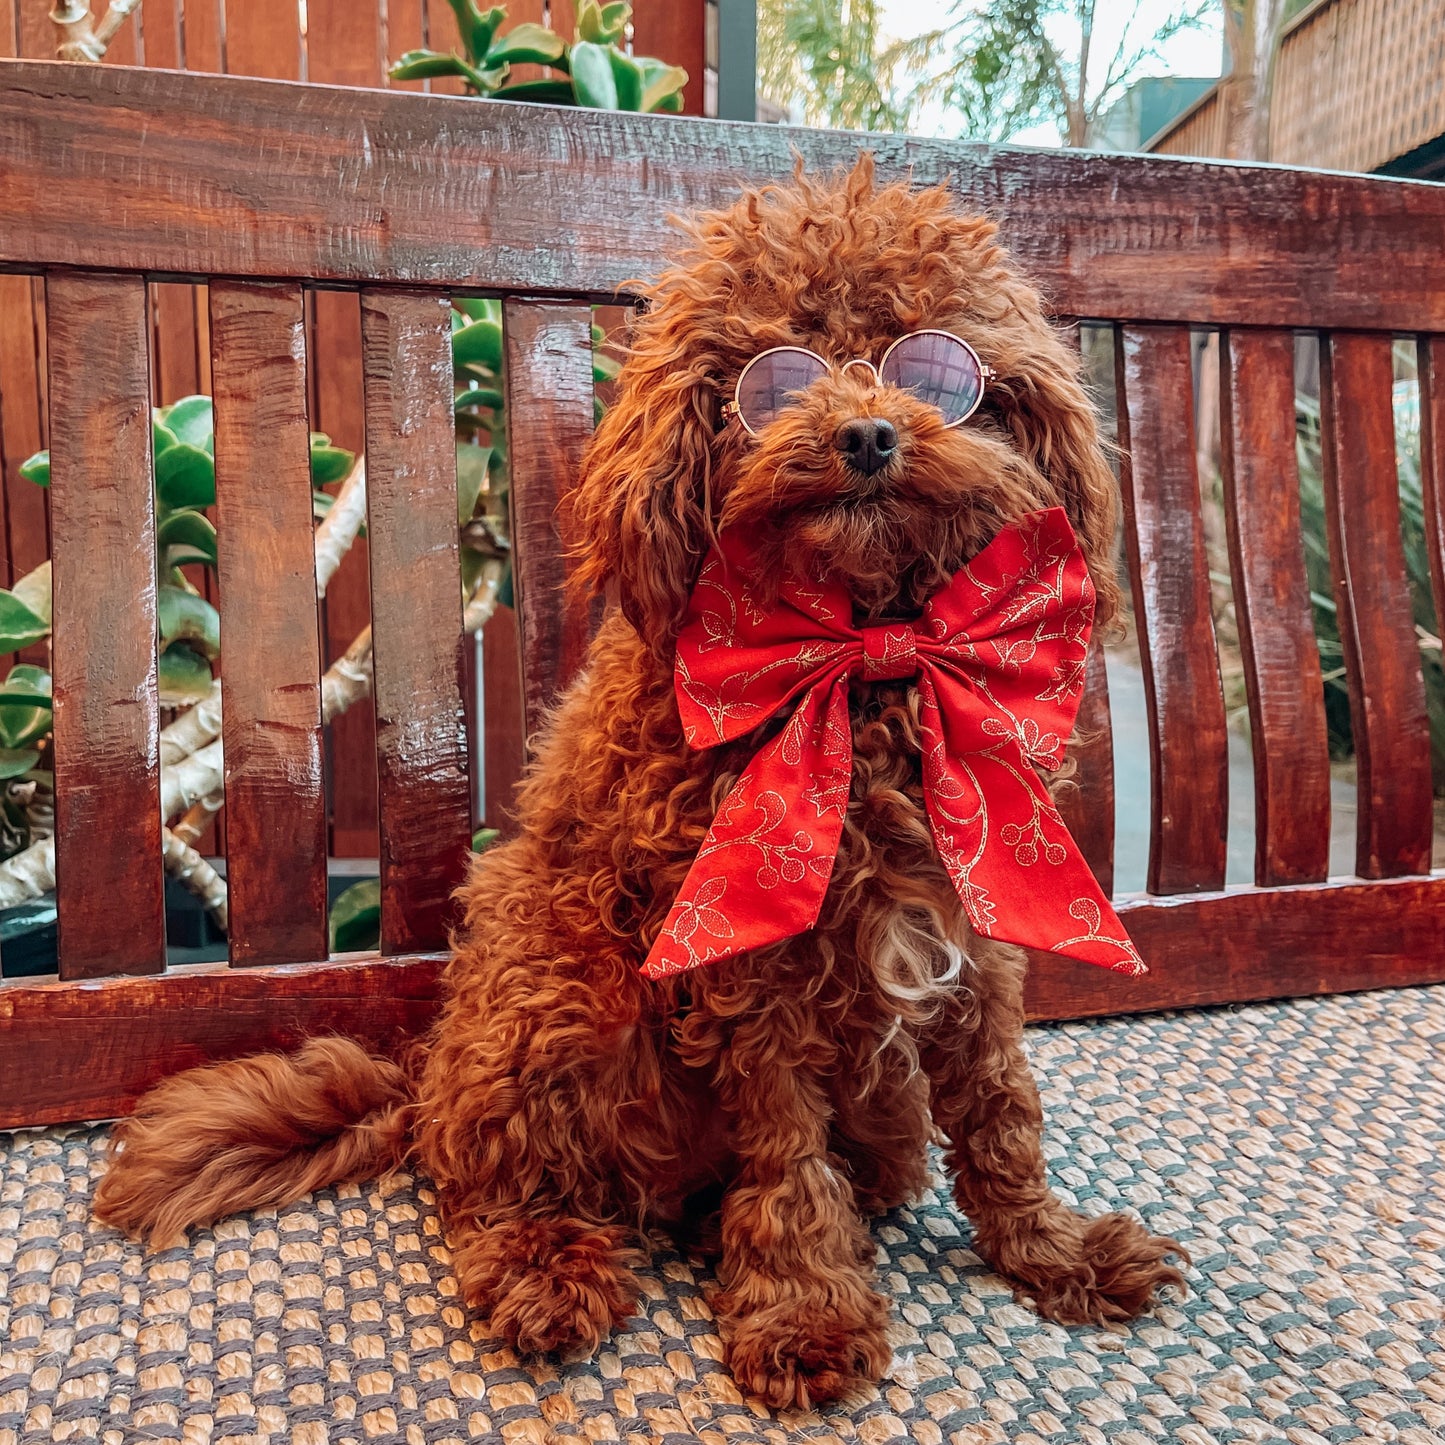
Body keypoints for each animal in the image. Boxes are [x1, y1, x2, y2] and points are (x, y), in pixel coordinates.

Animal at [98, 158, 1184, 1410]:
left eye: (936, 369)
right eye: (769, 378)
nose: (866, 432)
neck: (862, 662)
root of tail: (420, 1083)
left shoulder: (978, 926)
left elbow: (1003, 1110)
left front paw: (1052, 1252)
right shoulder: (741, 962)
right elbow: (785, 1150)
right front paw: (803, 1311)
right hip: (558, 981)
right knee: (490, 1187)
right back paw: (549, 1272)